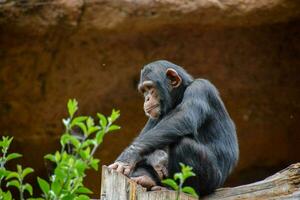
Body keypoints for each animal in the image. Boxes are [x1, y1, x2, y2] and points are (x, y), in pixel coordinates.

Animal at [108, 60, 239, 196]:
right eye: (144, 90)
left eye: (150, 88)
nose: (147, 98)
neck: (179, 96)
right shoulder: (155, 116)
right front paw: (156, 157)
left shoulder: (201, 88)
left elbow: (183, 116)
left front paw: (128, 156)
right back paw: (147, 179)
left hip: (212, 180)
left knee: (184, 145)